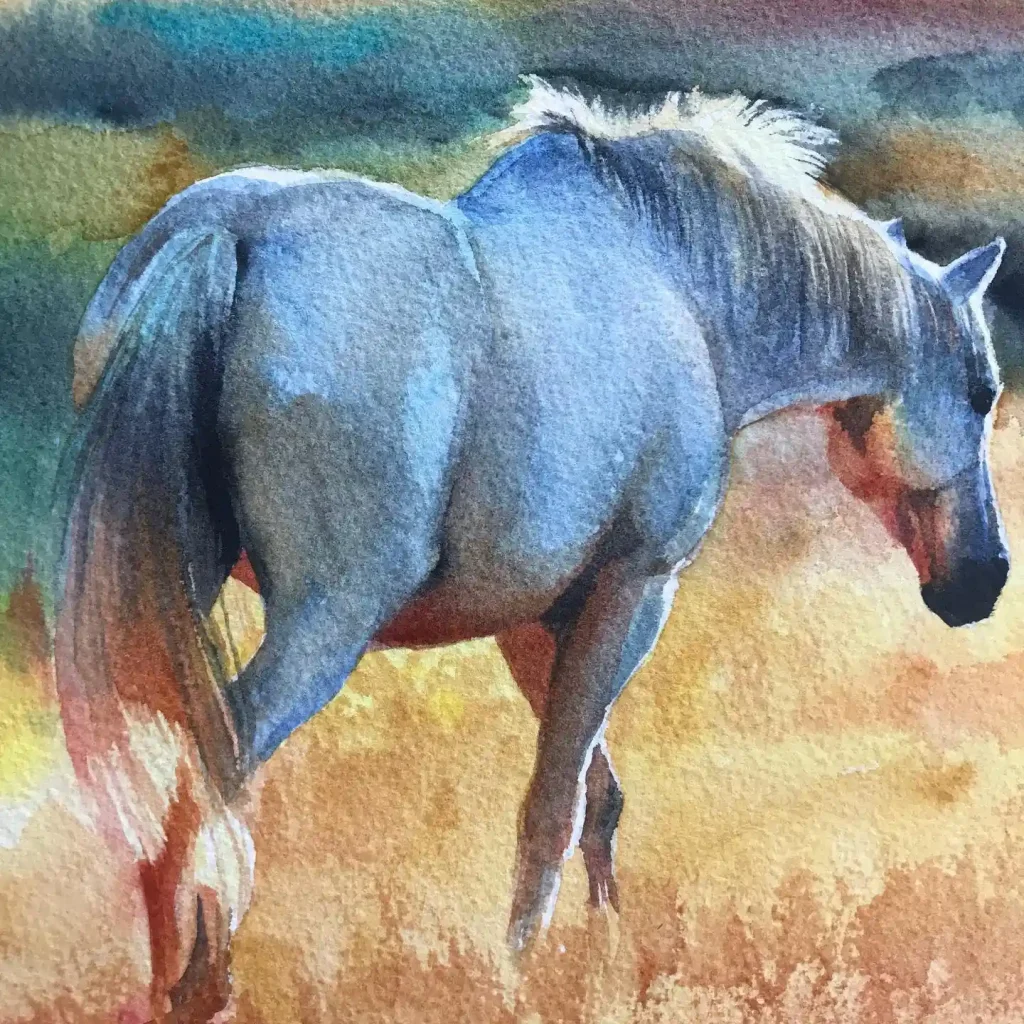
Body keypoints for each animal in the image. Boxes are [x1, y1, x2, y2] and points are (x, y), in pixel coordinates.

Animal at [54, 77, 1009, 1020]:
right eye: (983, 389)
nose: (985, 580)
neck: (680, 281)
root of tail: (227, 235)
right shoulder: (634, 589)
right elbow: (553, 808)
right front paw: (524, 977)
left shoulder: (531, 615)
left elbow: (595, 797)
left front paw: (602, 954)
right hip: (328, 620)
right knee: (212, 773)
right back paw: (204, 981)